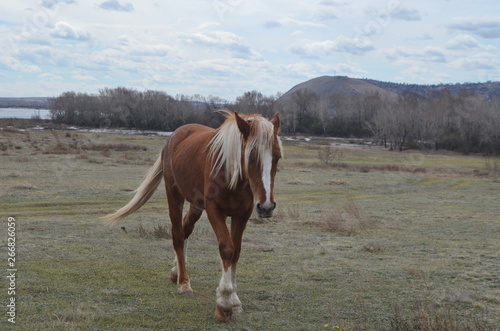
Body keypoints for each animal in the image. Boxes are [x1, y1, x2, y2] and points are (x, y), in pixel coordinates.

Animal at [102, 111, 282, 322]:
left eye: (278, 157)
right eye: (251, 157)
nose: (266, 206)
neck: (230, 173)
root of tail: (174, 136)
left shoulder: (242, 214)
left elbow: (236, 251)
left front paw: (235, 300)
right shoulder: (214, 210)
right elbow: (226, 249)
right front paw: (224, 303)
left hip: (196, 205)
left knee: (185, 229)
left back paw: (176, 272)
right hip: (174, 196)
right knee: (178, 235)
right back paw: (184, 283)